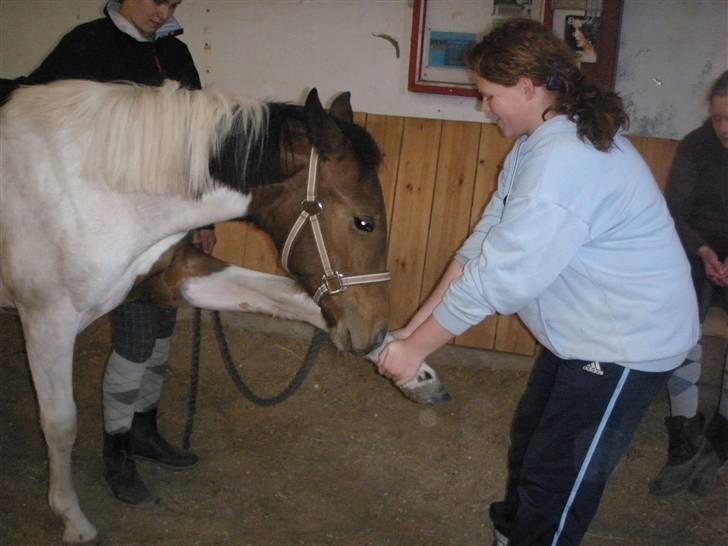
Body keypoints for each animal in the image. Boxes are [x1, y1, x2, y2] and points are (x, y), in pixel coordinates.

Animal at [0, 79, 392, 540]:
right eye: (364, 222)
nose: (372, 330)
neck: (95, 190)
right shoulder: (48, 322)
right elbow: (60, 424)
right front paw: (72, 518)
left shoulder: (178, 277)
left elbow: (283, 297)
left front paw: (410, 367)